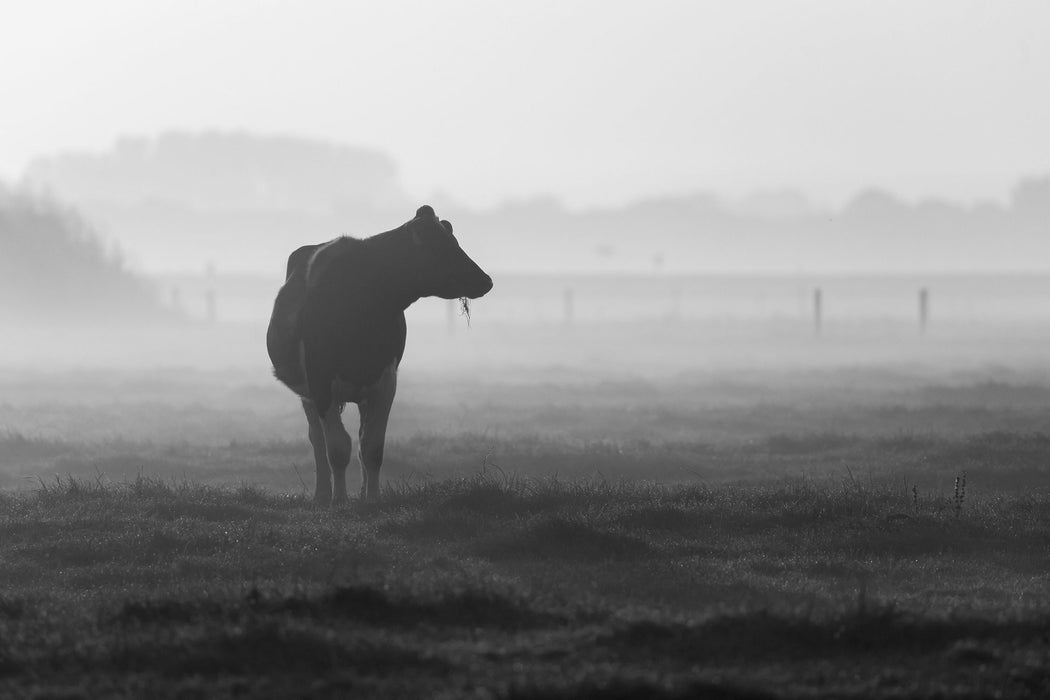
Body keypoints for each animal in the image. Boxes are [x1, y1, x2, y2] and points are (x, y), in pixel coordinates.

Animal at [262, 202, 491, 503]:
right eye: (441, 247)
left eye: (454, 241)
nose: (486, 280)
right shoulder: (320, 381)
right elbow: (337, 448)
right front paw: (339, 500)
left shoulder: (385, 380)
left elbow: (372, 447)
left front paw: (372, 499)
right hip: (309, 395)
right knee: (318, 440)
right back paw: (322, 494)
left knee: (358, 438)